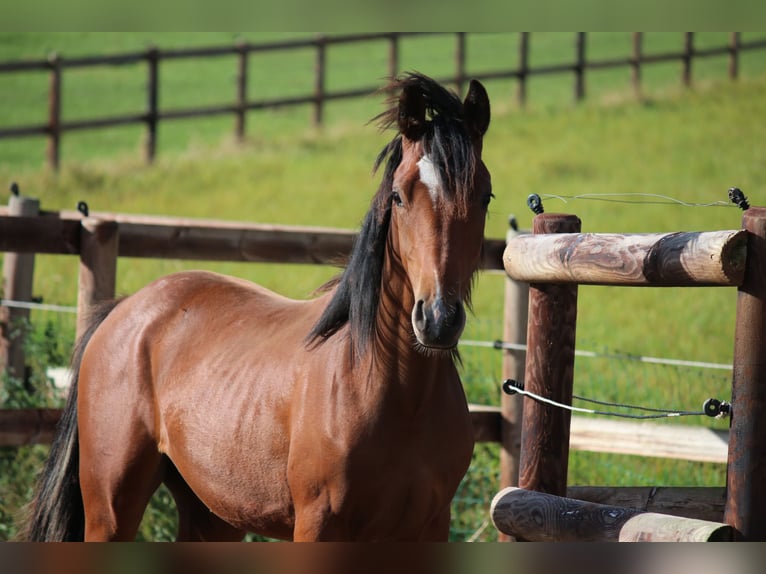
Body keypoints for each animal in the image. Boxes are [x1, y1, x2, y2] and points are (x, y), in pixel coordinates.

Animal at [19, 72, 493, 542]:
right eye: (398, 196)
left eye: (485, 196)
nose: (437, 320)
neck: (395, 393)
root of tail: (122, 311)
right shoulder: (318, 525)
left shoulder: (431, 527)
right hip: (110, 510)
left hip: (211, 514)